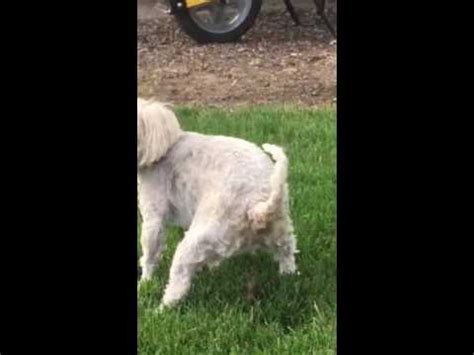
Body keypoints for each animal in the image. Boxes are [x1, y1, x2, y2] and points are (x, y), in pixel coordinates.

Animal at [137, 98, 298, 308]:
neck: (163, 148)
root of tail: (258, 209)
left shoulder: (153, 215)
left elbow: (149, 255)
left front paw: (144, 283)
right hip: (280, 232)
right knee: (287, 252)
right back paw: (288, 275)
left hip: (198, 239)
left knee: (179, 281)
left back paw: (163, 308)